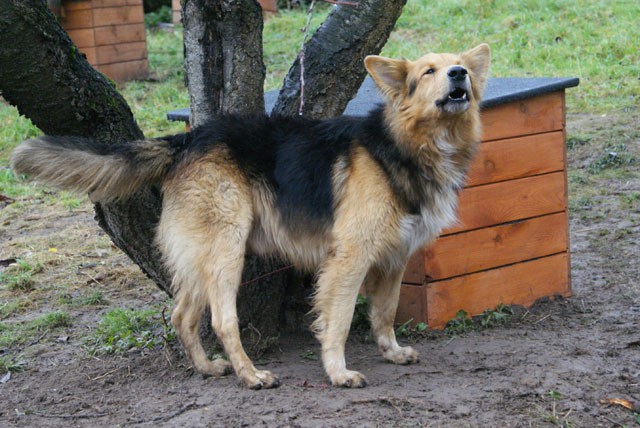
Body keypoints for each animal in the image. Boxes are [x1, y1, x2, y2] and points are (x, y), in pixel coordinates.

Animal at [8, 43, 490, 388]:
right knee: (222, 321)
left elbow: (384, 312)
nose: (459, 74)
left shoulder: (394, 257)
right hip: (227, 249)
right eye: (428, 72)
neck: (407, 146)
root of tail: (190, 139)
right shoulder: (349, 259)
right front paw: (337, 373)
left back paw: (208, 369)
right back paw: (250, 374)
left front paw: (391, 351)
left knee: (182, 316)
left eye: (456, 66)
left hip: (203, 254)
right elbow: (337, 320)